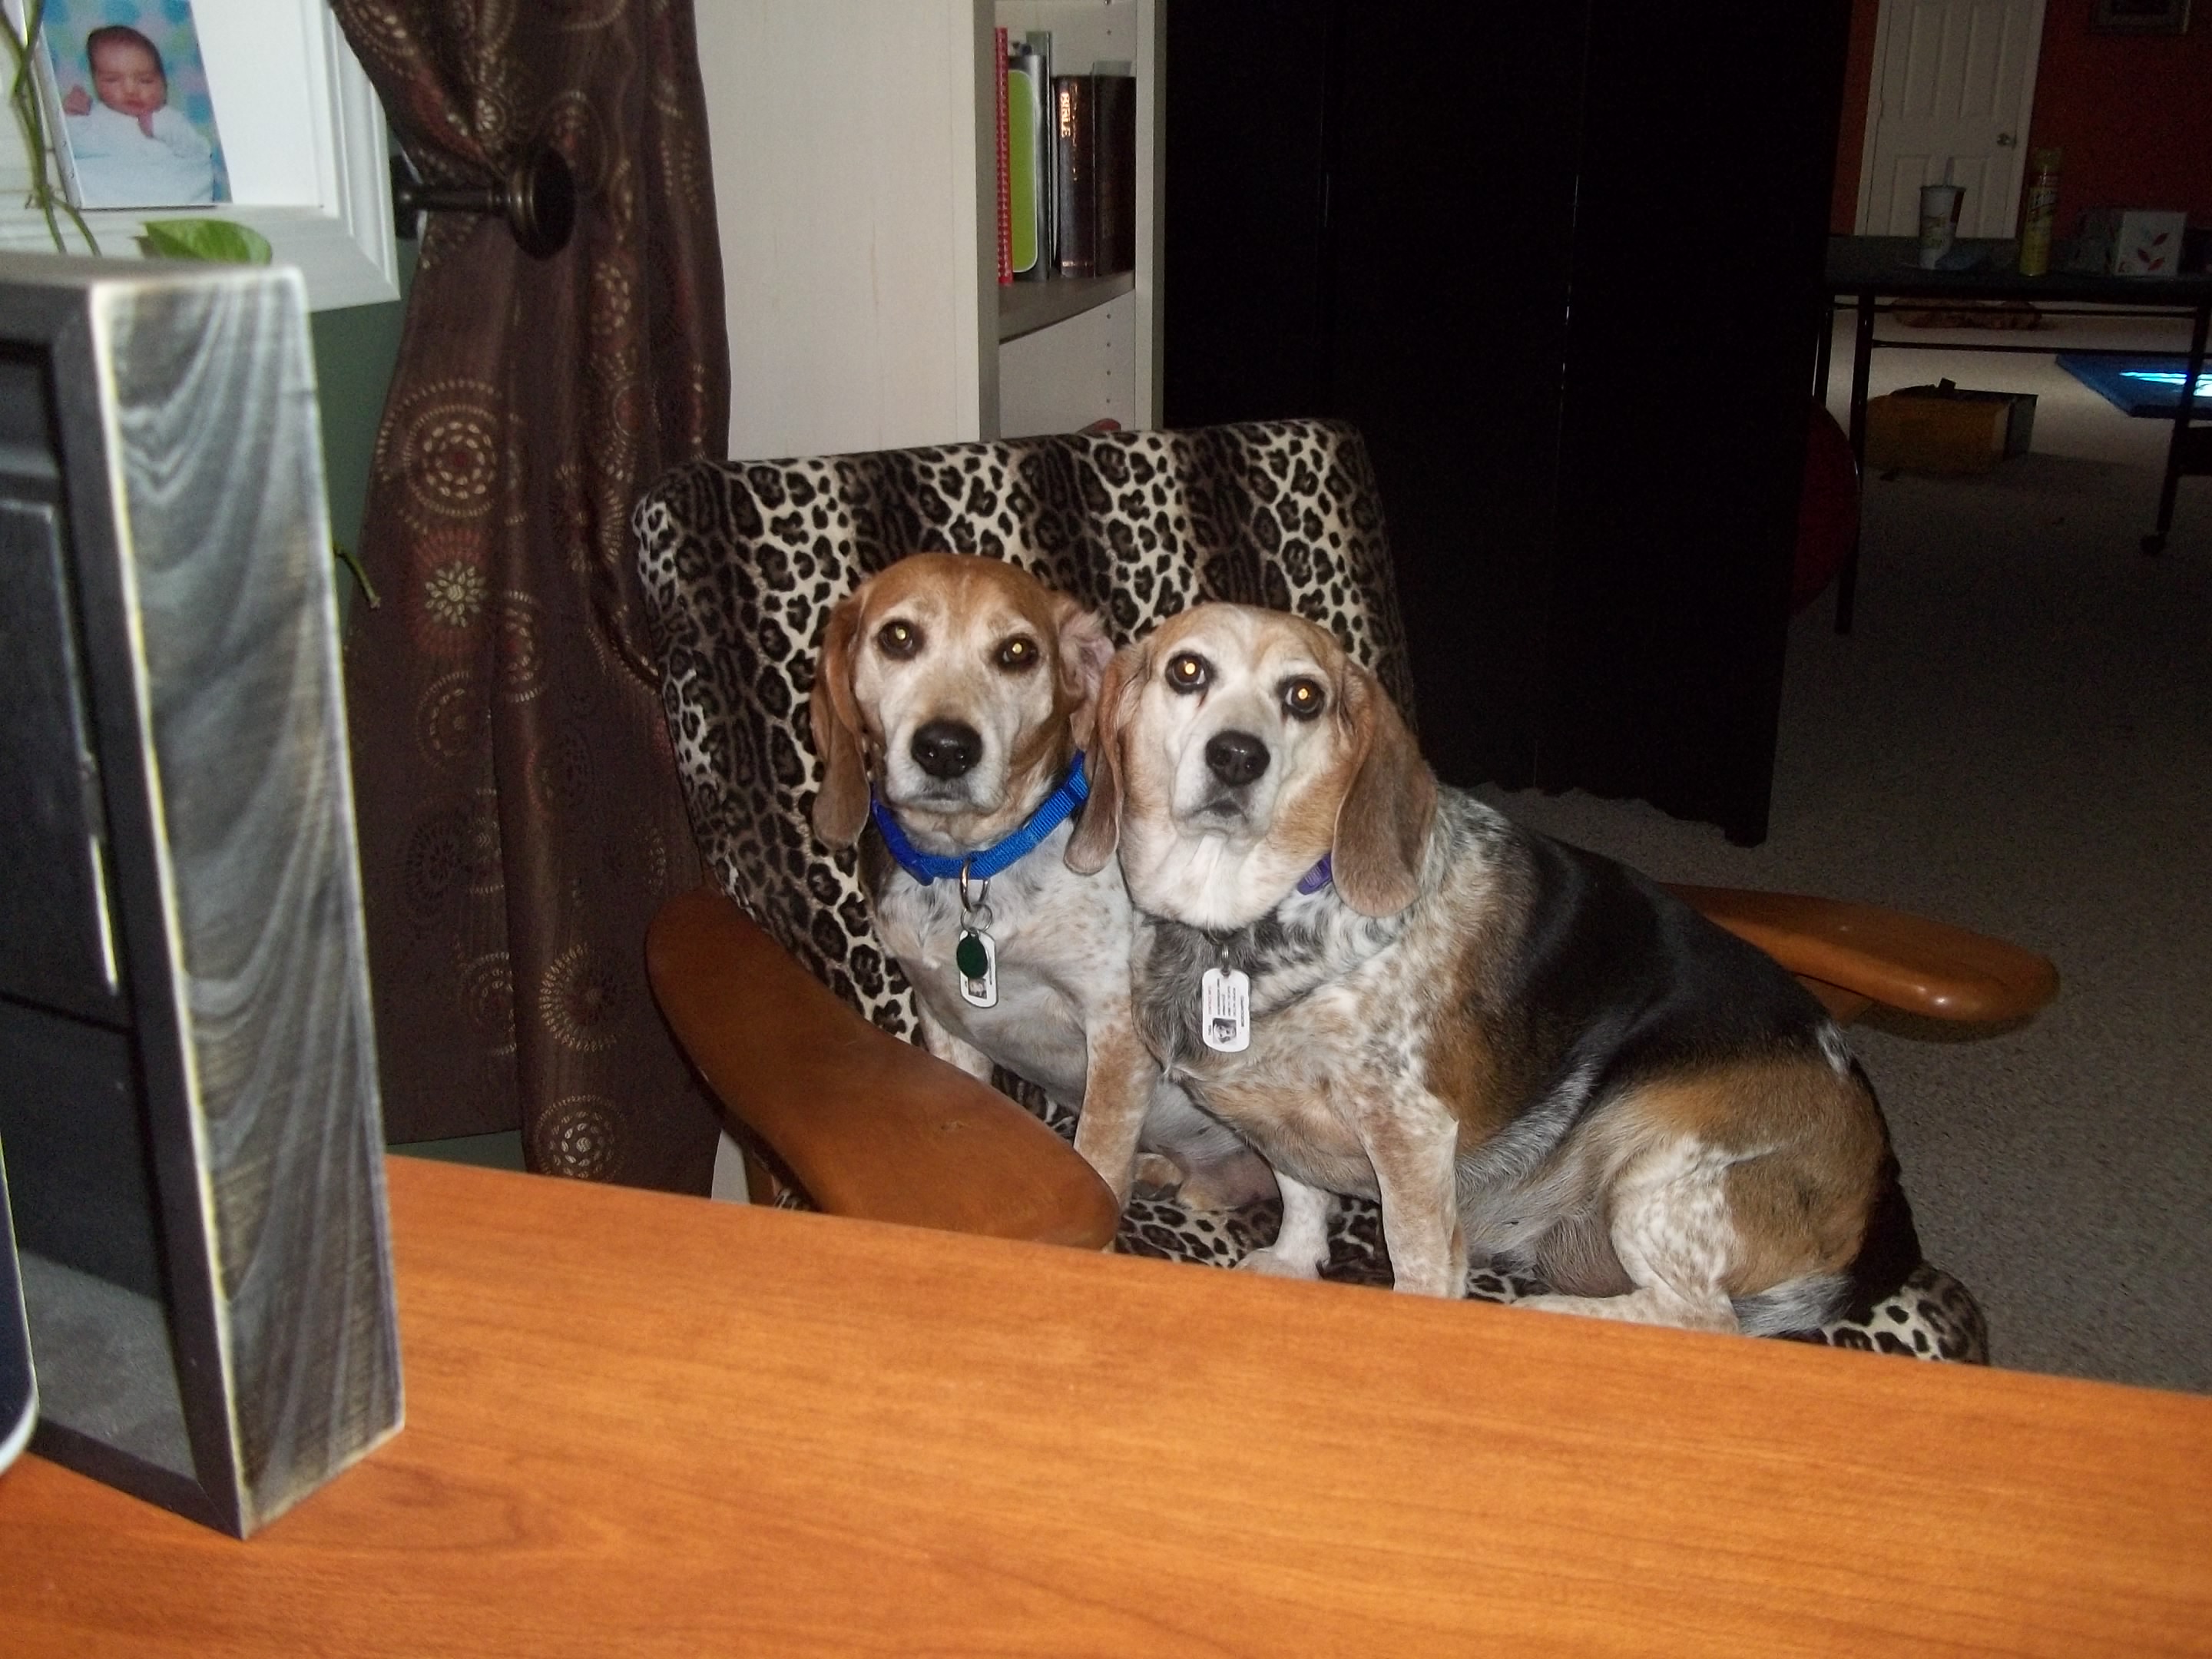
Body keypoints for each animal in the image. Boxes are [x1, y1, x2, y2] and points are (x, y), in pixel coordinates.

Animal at [808, 554, 1274, 1209]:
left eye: (1018, 652)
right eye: (898, 637)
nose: (946, 748)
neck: (972, 865)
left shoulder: (1115, 1034)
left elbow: (1098, 1156)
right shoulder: (945, 1026)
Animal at [1066, 602, 1917, 1334]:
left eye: (1303, 696)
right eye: (1188, 671)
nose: (1239, 756)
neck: (1244, 928)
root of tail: (1887, 1189)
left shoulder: (1409, 1134)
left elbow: (1416, 1258)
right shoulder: (1274, 1116)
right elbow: (1300, 1190)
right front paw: (1293, 1260)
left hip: (1660, 1169)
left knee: (1704, 1317)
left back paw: (1554, 1313)